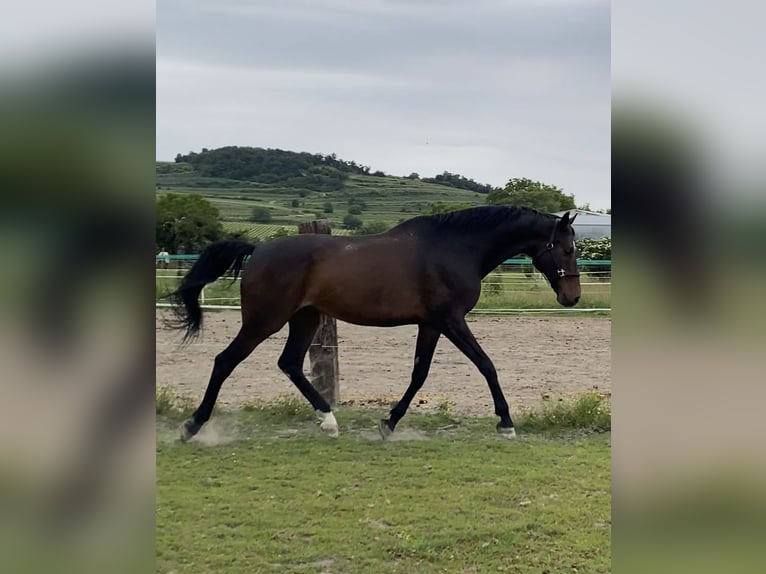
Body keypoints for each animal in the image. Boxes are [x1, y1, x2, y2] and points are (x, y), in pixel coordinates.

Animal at [170, 206, 584, 440]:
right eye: (567, 249)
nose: (573, 297)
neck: (455, 248)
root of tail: (258, 249)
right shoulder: (450, 320)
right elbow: (486, 365)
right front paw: (506, 422)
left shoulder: (431, 324)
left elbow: (419, 374)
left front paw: (389, 423)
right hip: (264, 320)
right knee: (225, 361)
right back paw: (191, 426)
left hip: (304, 318)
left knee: (289, 363)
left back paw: (329, 421)